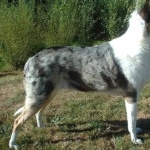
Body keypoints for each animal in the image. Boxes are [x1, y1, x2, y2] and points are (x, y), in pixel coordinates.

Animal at [8, 0, 150, 149]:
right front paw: (135, 140)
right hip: (38, 97)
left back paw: (41, 127)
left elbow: (132, 120)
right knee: (17, 121)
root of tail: (31, 59)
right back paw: (13, 144)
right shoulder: (131, 95)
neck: (139, 45)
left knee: (39, 112)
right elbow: (131, 121)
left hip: (48, 94)